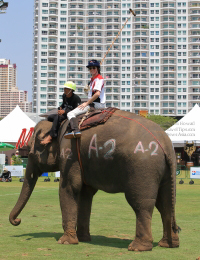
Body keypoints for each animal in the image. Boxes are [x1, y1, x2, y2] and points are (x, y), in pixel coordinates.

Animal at [9, 110, 180, 252]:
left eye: (30, 152)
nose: (17, 220)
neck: (59, 125)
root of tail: (165, 142)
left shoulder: (69, 153)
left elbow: (69, 188)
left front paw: (65, 242)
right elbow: (85, 195)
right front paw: (83, 239)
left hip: (142, 167)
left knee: (141, 203)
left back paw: (138, 248)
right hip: (165, 171)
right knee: (165, 204)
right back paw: (168, 244)